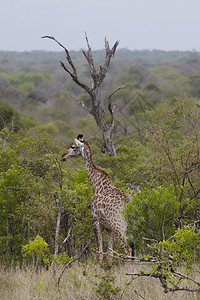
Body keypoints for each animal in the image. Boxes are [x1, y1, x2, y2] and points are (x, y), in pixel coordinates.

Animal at [60, 135, 134, 264]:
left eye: (73, 146)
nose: (63, 156)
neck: (97, 184)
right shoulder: (109, 228)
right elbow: (110, 254)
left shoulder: (96, 221)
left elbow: (100, 254)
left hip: (119, 226)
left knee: (128, 251)